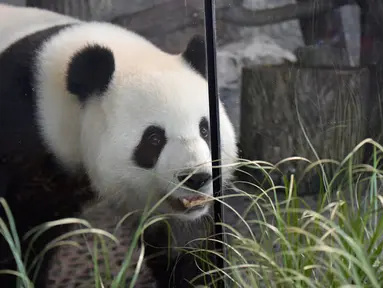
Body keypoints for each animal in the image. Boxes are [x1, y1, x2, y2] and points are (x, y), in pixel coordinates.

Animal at [0, 2, 238, 288]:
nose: (196, 178)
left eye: (204, 129)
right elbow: (16, 237)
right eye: (154, 138)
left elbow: (185, 244)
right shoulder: (21, 137)